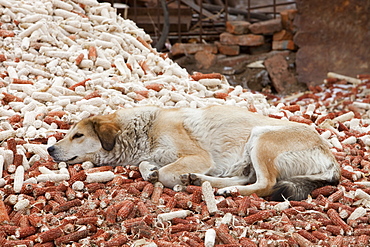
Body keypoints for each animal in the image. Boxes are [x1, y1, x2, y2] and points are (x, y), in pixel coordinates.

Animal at [47, 105, 340, 201]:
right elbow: (145, 165)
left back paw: (222, 189)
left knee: (265, 183)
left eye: (78, 135)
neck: (145, 129)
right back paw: (205, 182)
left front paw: (168, 178)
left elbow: (165, 172)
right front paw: (150, 170)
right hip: (249, 156)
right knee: (249, 178)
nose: (49, 148)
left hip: (261, 137)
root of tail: (331, 161)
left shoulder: (199, 156)